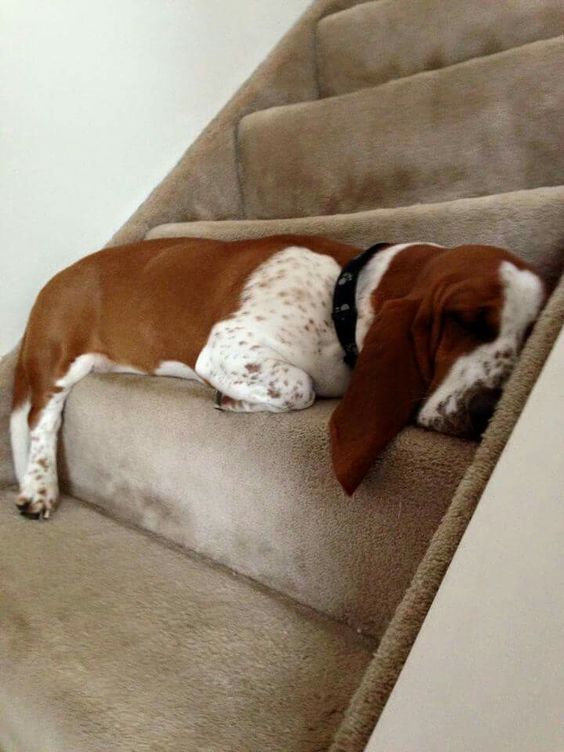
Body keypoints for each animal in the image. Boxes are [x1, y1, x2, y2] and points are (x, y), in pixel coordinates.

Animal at [11, 235, 544, 516]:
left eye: (528, 334)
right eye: (464, 321)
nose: (488, 412)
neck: (343, 297)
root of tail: (51, 283)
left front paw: (233, 399)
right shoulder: (224, 345)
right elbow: (299, 387)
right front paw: (235, 398)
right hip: (60, 363)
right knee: (40, 421)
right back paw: (39, 487)